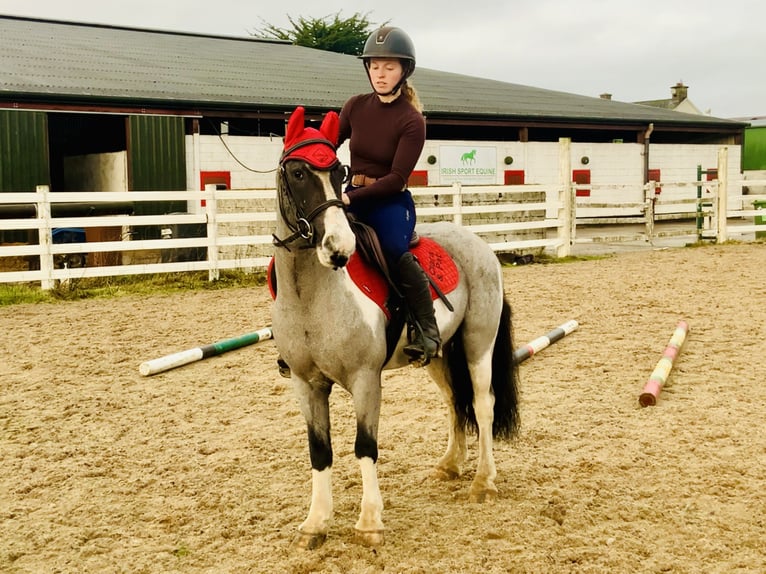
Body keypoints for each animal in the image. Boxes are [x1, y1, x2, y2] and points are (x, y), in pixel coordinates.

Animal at [272, 106, 520, 552]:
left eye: (338, 172)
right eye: (298, 172)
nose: (339, 248)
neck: (312, 296)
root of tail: (481, 245)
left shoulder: (366, 379)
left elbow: (364, 446)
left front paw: (370, 522)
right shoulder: (306, 383)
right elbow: (320, 451)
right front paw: (315, 524)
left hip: (478, 344)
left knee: (482, 403)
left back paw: (483, 483)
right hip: (439, 354)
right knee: (455, 402)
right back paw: (449, 466)